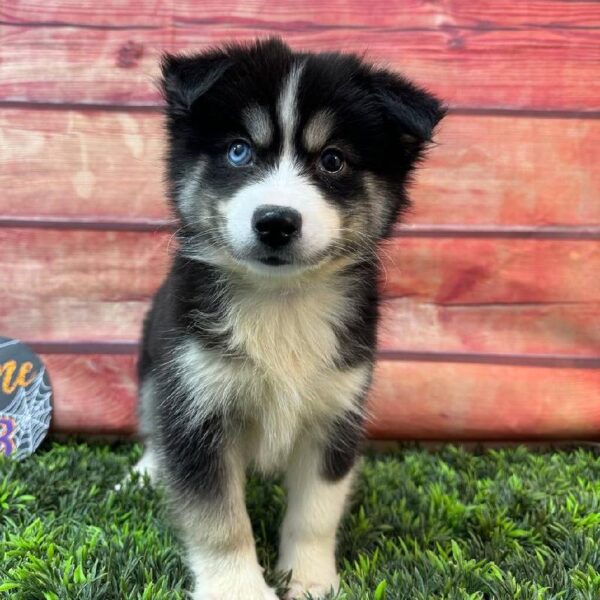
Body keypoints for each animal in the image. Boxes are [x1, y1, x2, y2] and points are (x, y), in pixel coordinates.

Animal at [137, 38, 446, 600]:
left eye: (333, 160)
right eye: (239, 150)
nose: (276, 222)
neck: (280, 301)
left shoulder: (336, 410)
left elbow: (315, 513)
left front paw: (310, 581)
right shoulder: (197, 404)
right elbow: (220, 520)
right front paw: (238, 589)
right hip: (155, 360)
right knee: (151, 417)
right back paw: (147, 471)